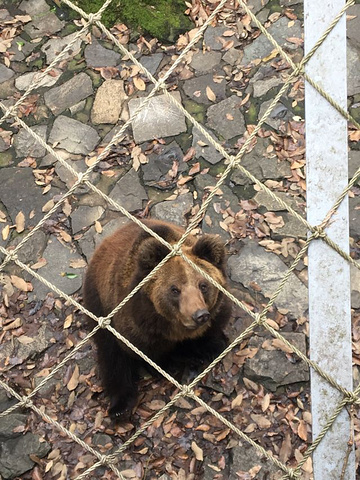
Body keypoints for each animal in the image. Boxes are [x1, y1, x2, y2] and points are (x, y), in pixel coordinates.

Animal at [83, 219, 232, 418]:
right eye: (175, 289)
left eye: (203, 285)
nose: (199, 315)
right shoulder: (137, 324)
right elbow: (144, 353)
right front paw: (170, 364)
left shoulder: (216, 313)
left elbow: (213, 330)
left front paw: (211, 347)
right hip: (99, 302)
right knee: (111, 353)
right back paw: (119, 407)